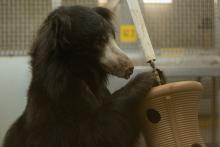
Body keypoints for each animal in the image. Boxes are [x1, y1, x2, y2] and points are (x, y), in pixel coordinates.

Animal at [2, 5, 156, 146]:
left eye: (112, 37)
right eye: (99, 40)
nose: (129, 67)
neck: (83, 72)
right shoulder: (64, 99)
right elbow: (95, 134)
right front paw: (146, 79)